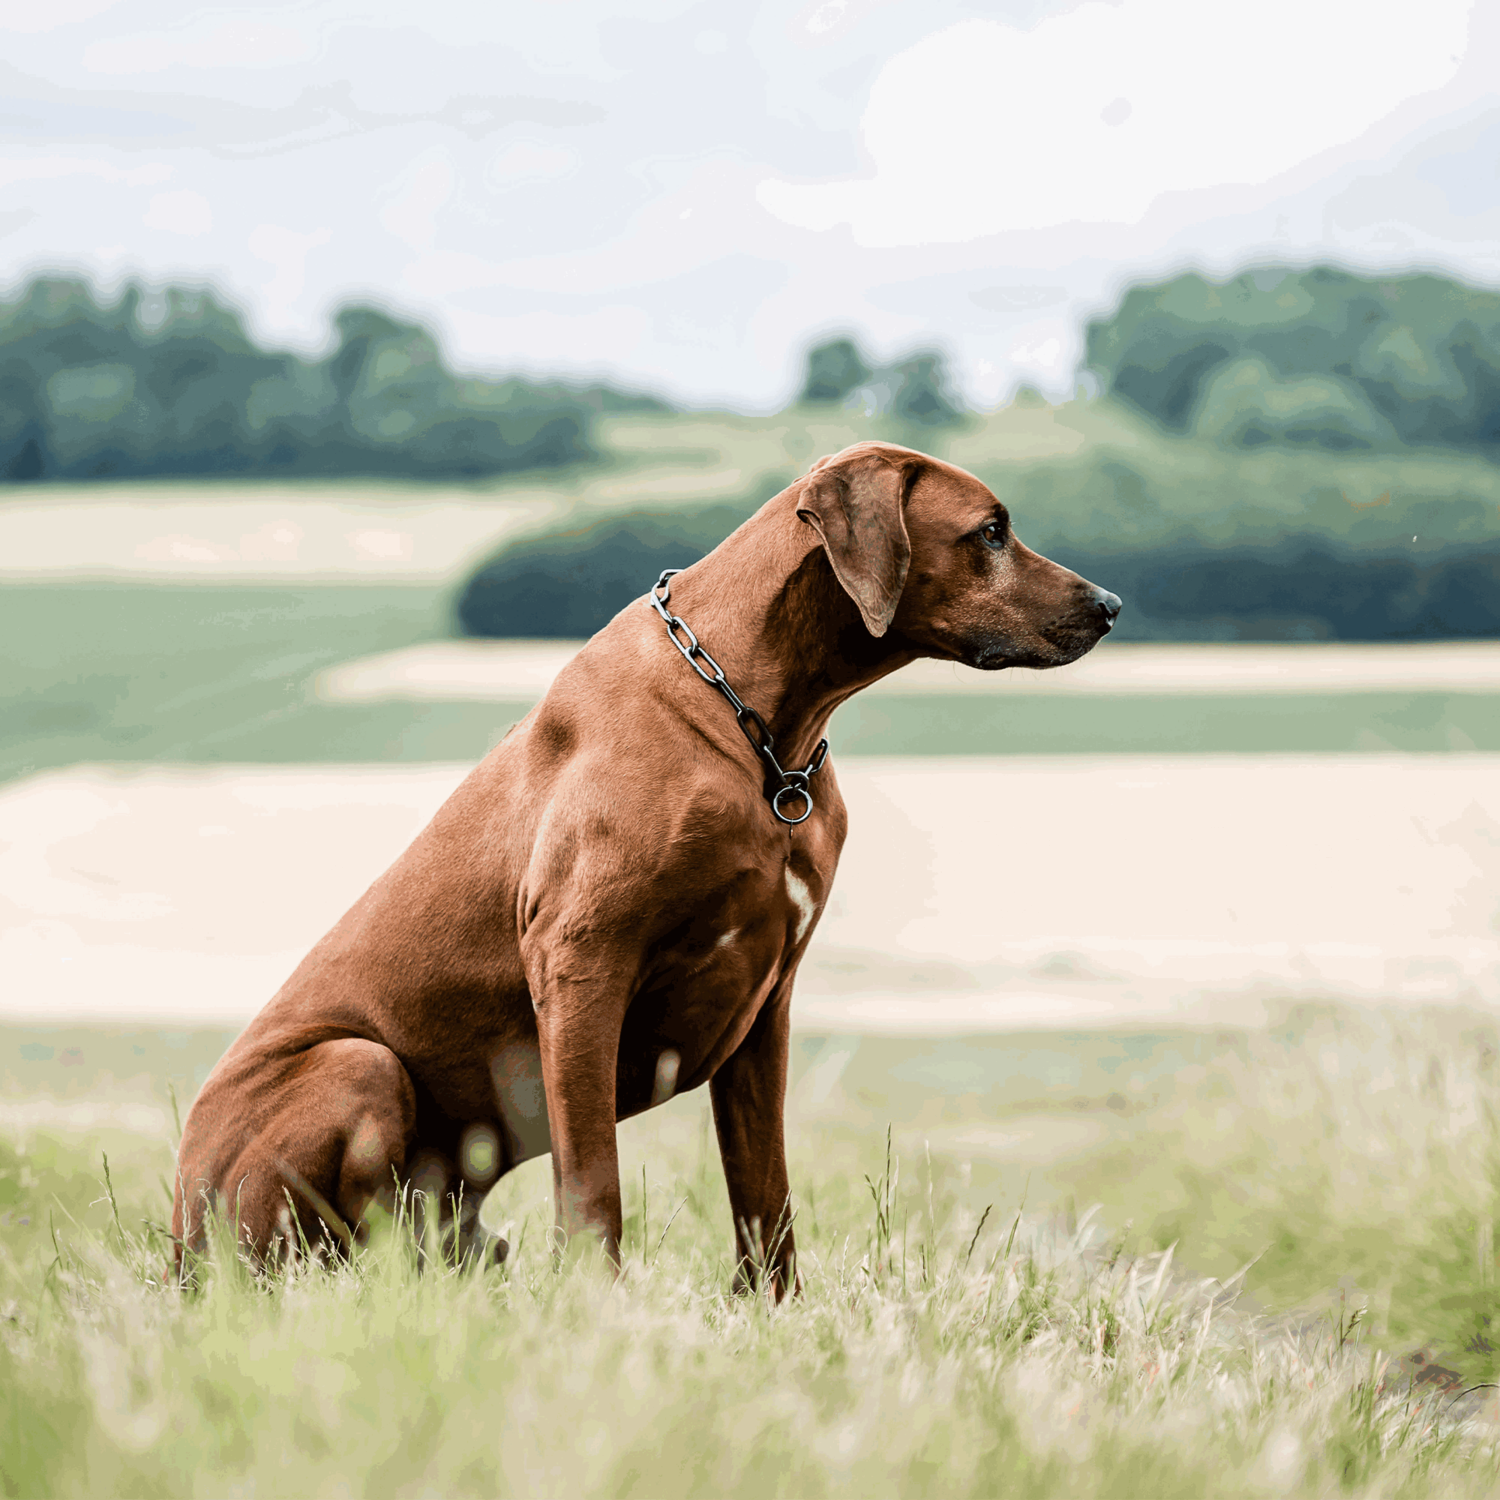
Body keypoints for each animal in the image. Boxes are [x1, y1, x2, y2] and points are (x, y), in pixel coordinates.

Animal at [170, 438, 1122, 1296]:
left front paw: (773, 1315)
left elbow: (764, 1192)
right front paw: (596, 1306)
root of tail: (175, 1237)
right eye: (990, 532)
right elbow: (595, 1182)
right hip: (354, 1064)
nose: (1111, 603)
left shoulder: (767, 1001)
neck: (761, 736)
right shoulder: (581, 965)